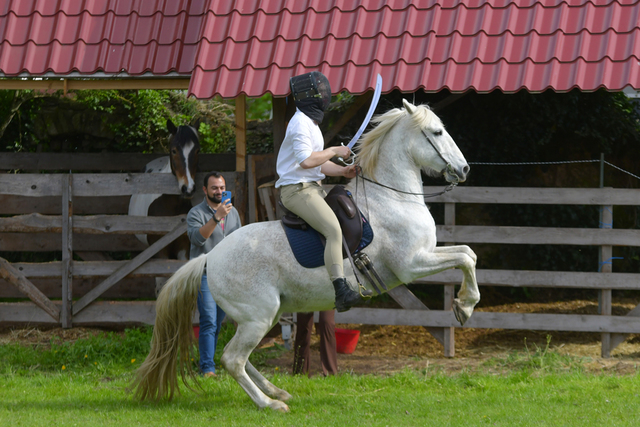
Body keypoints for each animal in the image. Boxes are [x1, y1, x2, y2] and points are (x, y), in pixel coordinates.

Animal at [131, 99, 480, 412]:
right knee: (233, 359)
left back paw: (278, 391)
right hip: (258, 317)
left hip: (260, 316)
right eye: (437, 132)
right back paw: (270, 403)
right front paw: (464, 306)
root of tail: (209, 257)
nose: (464, 168)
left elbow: (468, 253)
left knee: (234, 355)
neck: (391, 198)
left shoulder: (425, 256)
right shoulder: (412, 264)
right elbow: (466, 258)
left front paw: (463, 304)